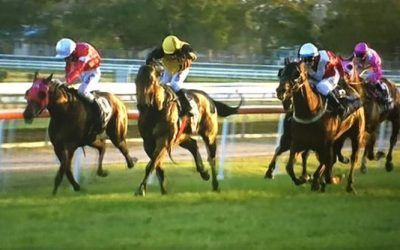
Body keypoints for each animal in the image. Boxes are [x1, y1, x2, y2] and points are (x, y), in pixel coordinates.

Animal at [134, 64, 241, 195]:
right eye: (136, 80)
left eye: (151, 80)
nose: (141, 105)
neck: (156, 110)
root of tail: (209, 99)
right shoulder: (148, 142)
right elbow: (156, 164)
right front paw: (164, 188)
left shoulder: (164, 139)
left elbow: (152, 164)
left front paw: (141, 189)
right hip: (181, 136)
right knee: (193, 145)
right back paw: (203, 172)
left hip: (209, 135)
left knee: (211, 158)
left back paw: (215, 185)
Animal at [276, 61, 366, 193]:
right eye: (282, 72)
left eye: (296, 74)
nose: (280, 91)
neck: (310, 112)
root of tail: (354, 91)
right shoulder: (297, 143)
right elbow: (289, 167)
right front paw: (304, 178)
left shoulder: (324, 144)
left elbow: (324, 163)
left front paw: (318, 180)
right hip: (337, 138)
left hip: (357, 134)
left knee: (353, 157)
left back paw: (349, 185)